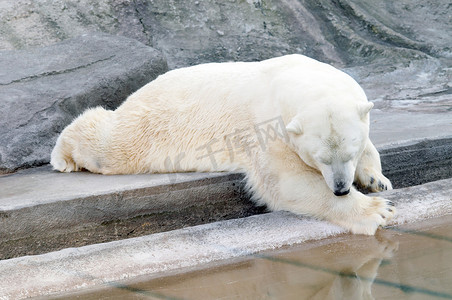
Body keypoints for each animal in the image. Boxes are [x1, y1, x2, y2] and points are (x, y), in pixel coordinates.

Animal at [51, 55, 394, 236]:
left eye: (348, 154)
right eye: (319, 159)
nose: (341, 188)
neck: (297, 78)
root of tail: (139, 92)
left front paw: (377, 180)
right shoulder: (267, 127)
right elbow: (287, 183)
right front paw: (378, 211)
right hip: (149, 127)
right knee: (109, 144)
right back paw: (62, 157)